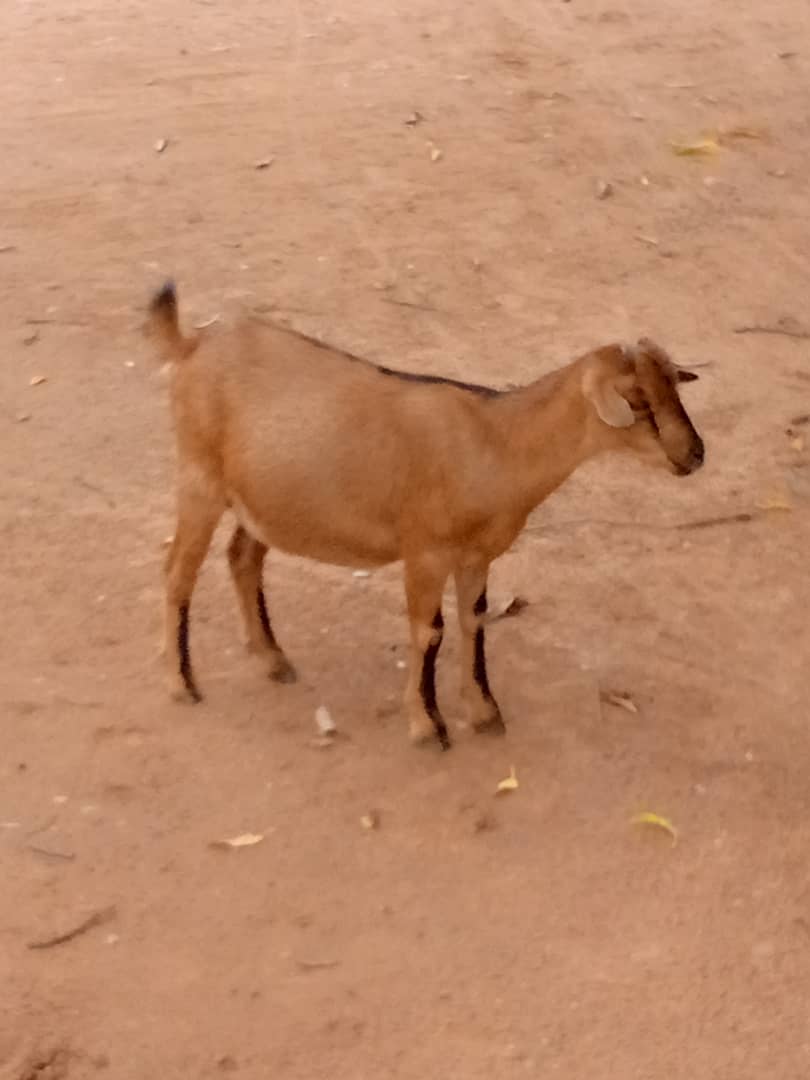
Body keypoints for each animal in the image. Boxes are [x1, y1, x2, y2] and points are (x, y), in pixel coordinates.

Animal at [148, 282, 704, 750]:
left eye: (675, 390)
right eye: (637, 400)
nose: (695, 455)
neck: (497, 442)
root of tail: (190, 343)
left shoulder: (476, 556)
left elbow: (474, 620)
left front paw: (484, 712)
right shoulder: (425, 552)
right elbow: (428, 630)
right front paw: (427, 724)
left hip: (266, 497)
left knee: (243, 556)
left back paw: (272, 659)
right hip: (200, 479)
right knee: (178, 571)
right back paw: (180, 682)